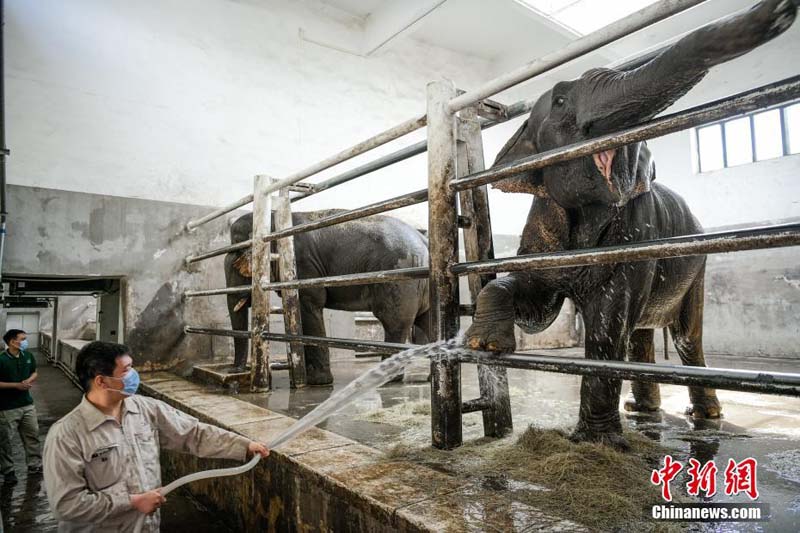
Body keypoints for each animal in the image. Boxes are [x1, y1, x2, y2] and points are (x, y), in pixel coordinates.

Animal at [225, 210, 432, 384]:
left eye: (238, 268)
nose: (233, 371)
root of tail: (424, 240)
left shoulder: (303, 266)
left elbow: (309, 306)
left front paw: (317, 382)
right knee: (429, 323)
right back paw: (428, 378)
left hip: (399, 277)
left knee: (394, 323)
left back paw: (387, 378)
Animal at [462, 0, 792, 448]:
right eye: (561, 100)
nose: (781, 9)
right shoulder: (543, 219)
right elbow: (538, 304)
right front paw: (484, 344)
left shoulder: (639, 230)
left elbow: (606, 323)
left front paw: (595, 444)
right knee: (639, 332)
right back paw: (643, 410)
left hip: (699, 264)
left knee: (685, 335)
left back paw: (703, 416)